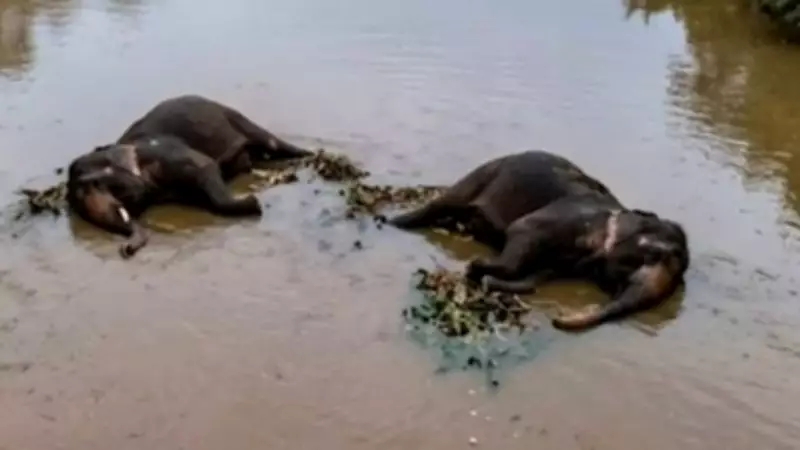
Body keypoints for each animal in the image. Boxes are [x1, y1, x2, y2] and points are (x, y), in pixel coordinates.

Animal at [389, 150, 690, 331]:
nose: (558, 320)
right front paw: (476, 267)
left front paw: (485, 278)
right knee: (444, 201)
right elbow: (520, 235)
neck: (615, 215)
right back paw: (394, 221)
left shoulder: (562, 262)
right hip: (484, 174)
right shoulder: (555, 220)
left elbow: (535, 277)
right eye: (656, 253)